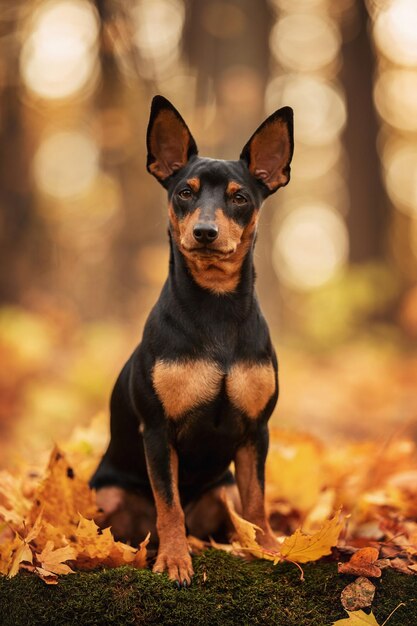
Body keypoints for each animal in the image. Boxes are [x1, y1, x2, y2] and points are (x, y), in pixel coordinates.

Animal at [91, 94, 292, 584]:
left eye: (240, 198)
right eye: (185, 192)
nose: (205, 232)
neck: (216, 309)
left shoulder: (256, 431)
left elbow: (258, 502)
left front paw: (268, 548)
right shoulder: (158, 430)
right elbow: (169, 505)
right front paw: (175, 560)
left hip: (224, 492)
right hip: (107, 496)